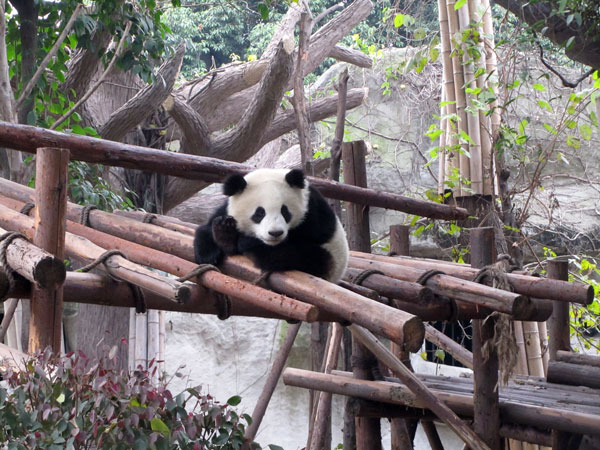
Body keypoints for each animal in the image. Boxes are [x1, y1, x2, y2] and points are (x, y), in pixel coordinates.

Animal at [195, 167, 350, 284]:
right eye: (259, 213)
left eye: (285, 211)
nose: (275, 233)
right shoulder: (226, 208)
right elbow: (206, 228)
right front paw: (217, 239)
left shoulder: (312, 213)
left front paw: (240, 241)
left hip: (329, 260)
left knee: (298, 256)